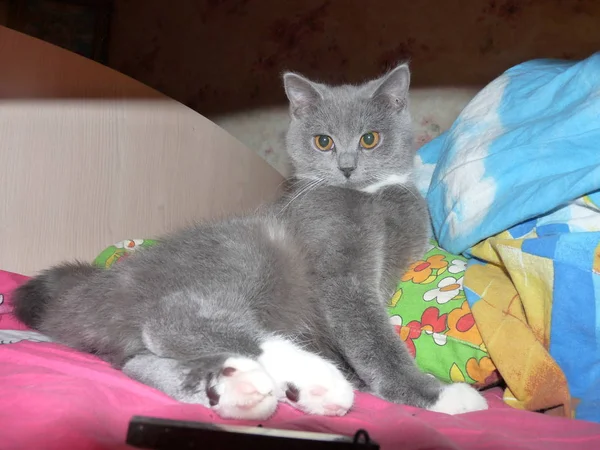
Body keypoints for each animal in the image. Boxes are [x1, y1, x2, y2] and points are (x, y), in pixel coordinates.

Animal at [11, 62, 488, 418]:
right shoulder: (338, 266)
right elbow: (371, 337)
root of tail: (106, 285)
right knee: (169, 321)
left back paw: (243, 388)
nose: (348, 167)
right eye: (324, 141)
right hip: (250, 249)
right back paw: (312, 377)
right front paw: (436, 395)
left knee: (136, 359)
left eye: (369, 138)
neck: (371, 196)